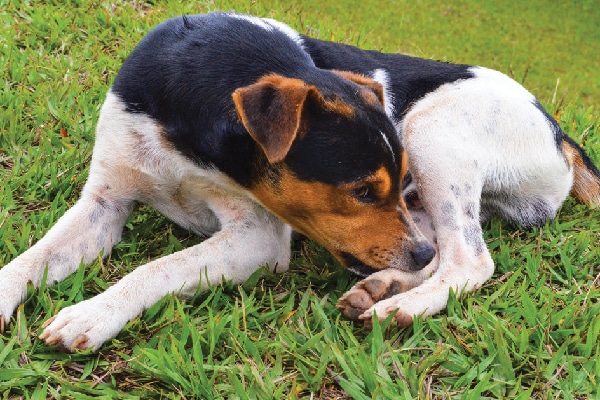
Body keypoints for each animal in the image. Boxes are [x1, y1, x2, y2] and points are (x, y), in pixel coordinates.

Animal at [0, 12, 596, 352]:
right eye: (361, 191)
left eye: (387, 183)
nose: (416, 253)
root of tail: (559, 131)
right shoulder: (103, 201)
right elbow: (29, 260)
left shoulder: (257, 238)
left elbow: (155, 270)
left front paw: (92, 314)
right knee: (443, 251)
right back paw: (383, 287)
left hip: (436, 132)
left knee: (466, 259)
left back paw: (399, 307)